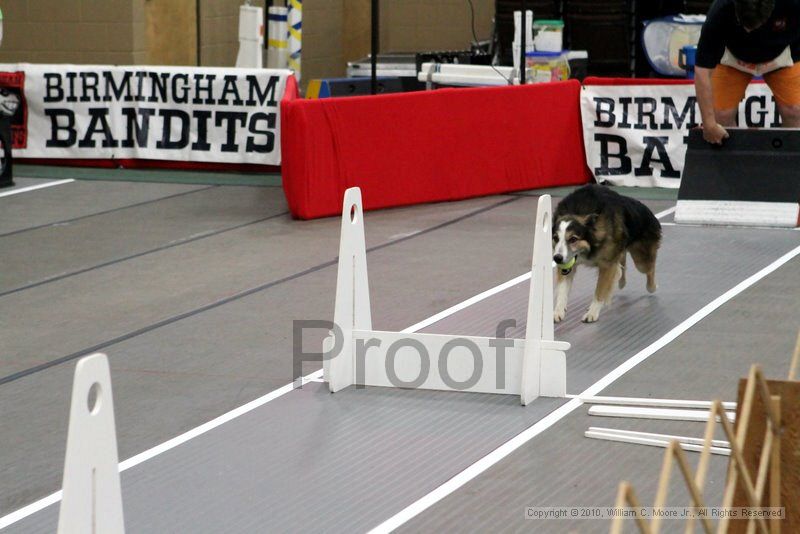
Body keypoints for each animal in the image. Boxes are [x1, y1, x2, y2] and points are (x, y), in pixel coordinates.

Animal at [552, 184, 660, 324]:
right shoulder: (568, 266)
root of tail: (648, 212)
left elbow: (600, 290)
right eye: (555, 238)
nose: (557, 258)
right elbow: (562, 290)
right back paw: (621, 282)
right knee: (622, 268)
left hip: (641, 260)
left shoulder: (607, 265)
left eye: (573, 239)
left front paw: (592, 312)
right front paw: (558, 311)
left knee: (649, 270)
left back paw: (652, 286)